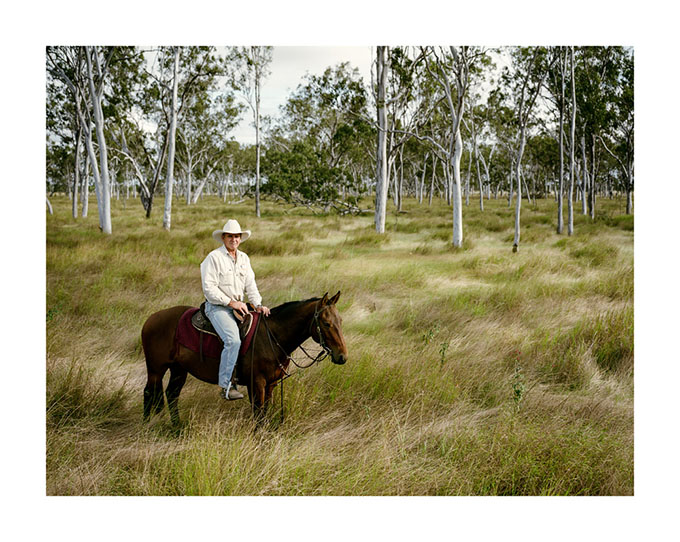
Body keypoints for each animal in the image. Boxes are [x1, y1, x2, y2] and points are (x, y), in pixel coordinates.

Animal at [141, 291, 347, 425]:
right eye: (326, 323)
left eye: (340, 321)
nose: (342, 356)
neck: (272, 336)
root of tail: (151, 319)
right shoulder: (256, 383)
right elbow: (259, 415)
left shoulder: (270, 384)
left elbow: (265, 412)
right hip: (156, 369)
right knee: (149, 393)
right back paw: (147, 426)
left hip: (179, 369)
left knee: (171, 395)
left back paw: (177, 429)